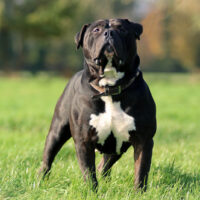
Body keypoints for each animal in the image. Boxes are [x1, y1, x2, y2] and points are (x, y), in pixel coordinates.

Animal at [39, 18, 157, 191]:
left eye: (122, 29)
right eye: (96, 30)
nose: (109, 32)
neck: (109, 87)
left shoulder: (144, 141)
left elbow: (141, 172)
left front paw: (139, 192)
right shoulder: (84, 140)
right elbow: (89, 172)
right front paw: (92, 192)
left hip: (116, 148)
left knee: (104, 166)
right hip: (57, 131)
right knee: (47, 159)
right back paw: (40, 181)